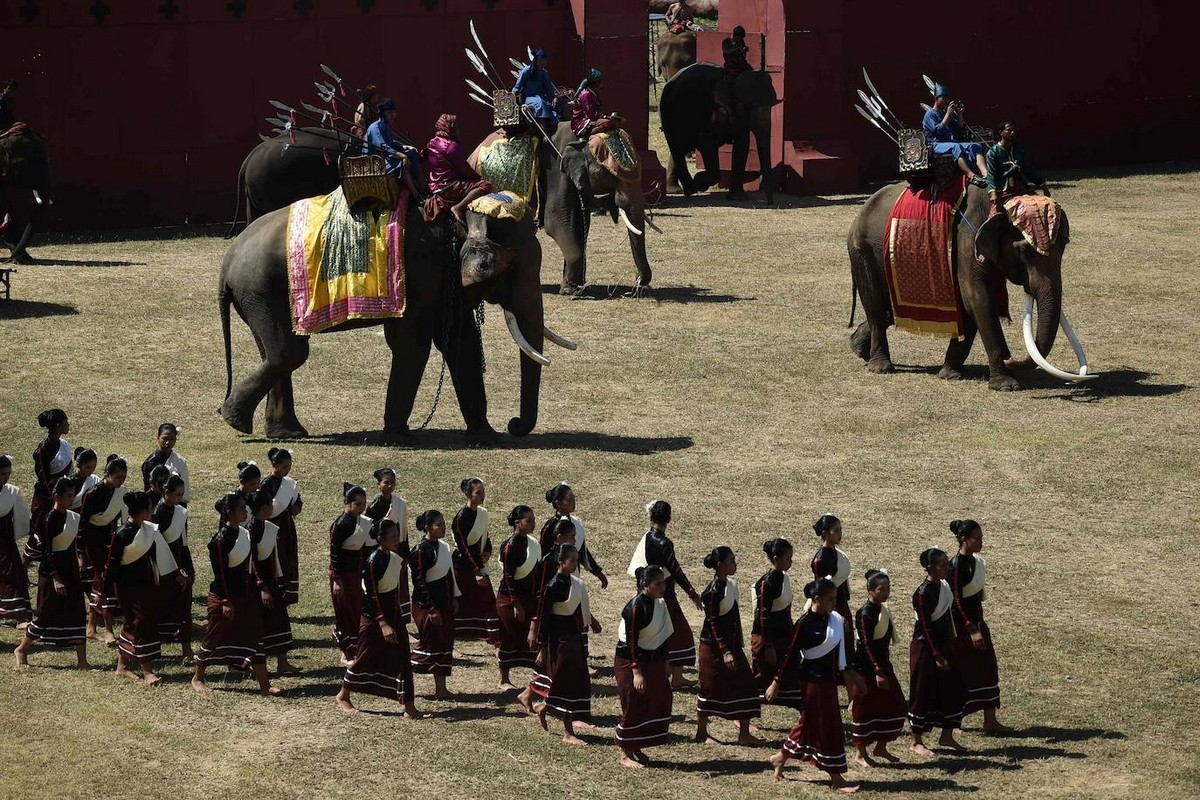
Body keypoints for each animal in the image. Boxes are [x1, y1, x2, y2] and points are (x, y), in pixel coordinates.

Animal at [218, 190, 568, 441]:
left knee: (275, 353)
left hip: (258, 296)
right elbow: (412, 344)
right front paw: (398, 435)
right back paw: (236, 421)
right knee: (288, 353)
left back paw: (280, 432)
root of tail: (227, 261)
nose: (514, 425)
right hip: (261, 290)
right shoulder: (420, 275)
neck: (457, 216)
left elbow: (461, 344)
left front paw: (486, 436)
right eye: (513, 267)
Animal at [547, 125, 652, 297]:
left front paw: (576, 287)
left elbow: (581, 226)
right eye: (602, 173)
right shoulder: (556, 169)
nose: (637, 279)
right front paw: (571, 290)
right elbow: (557, 223)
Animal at [657, 65, 777, 203]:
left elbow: (742, 144)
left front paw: (737, 198)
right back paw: (690, 189)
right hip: (668, 113)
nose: (770, 203)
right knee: (677, 146)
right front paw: (699, 179)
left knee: (680, 148)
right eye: (752, 106)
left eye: (773, 105)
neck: (732, 80)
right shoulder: (711, 114)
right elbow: (705, 143)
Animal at [844, 184, 1099, 391]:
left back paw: (858, 347)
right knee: (877, 307)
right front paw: (1006, 385)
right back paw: (880, 367)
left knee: (889, 311)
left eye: (1065, 245)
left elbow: (968, 305)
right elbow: (977, 299)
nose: (1010, 359)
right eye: (1025, 251)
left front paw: (951, 375)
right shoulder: (968, 239)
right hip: (862, 249)